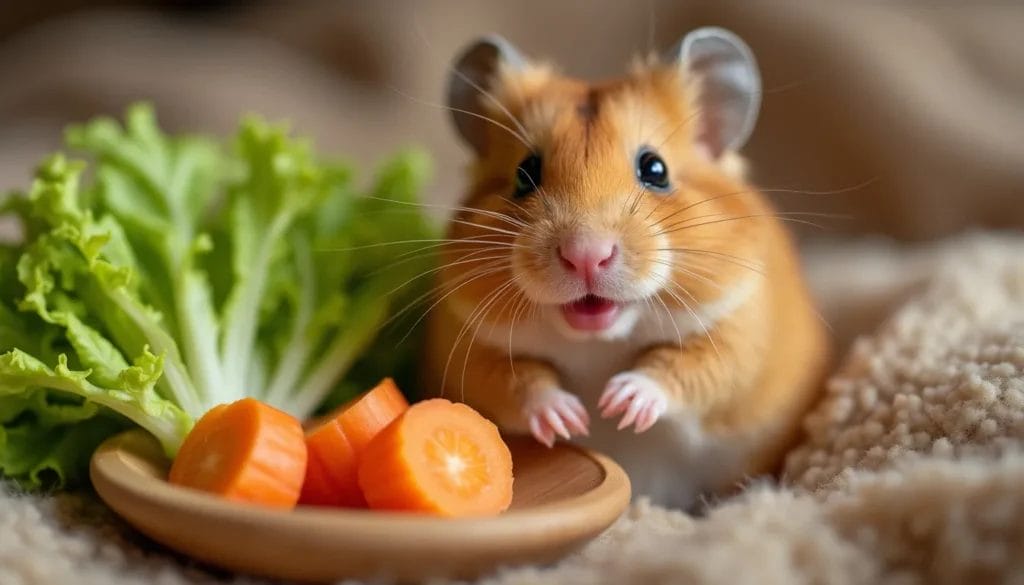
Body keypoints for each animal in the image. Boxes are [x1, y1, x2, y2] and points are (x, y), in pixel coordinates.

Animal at [423, 28, 831, 512]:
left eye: (655, 168)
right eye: (526, 173)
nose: (586, 254)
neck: (600, 342)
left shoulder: (737, 333)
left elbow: (685, 370)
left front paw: (619, 403)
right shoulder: (472, 346)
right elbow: (517, 381)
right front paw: (572, 421)